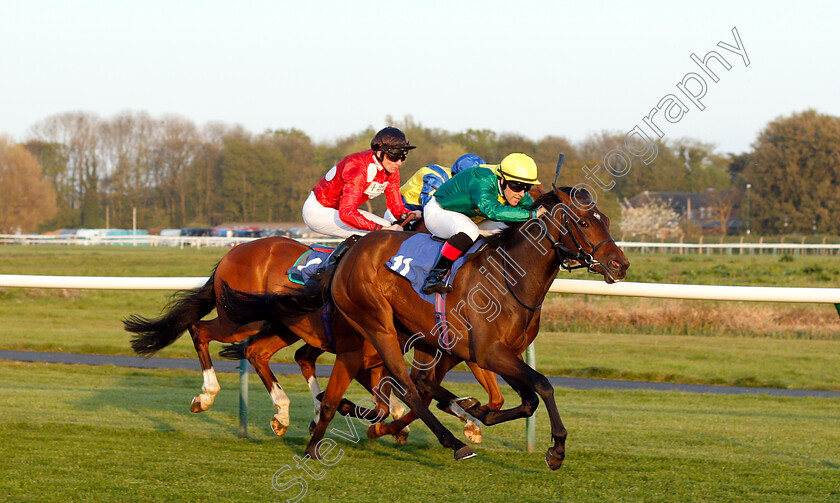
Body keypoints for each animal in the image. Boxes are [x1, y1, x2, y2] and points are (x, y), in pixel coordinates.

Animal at [226, 188, 628, 468]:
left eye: (606, 220)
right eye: (585, 222)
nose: (620, 265)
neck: (510, 278)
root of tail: (348, 254)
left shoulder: (497, 353)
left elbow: (526, 399)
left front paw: (479, 413)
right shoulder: (488, 352)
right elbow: (543, 385)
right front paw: (556, 449)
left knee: (396, 385)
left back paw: (320, 437)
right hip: (378, 325)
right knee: (406, 386)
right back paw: (452, 443)